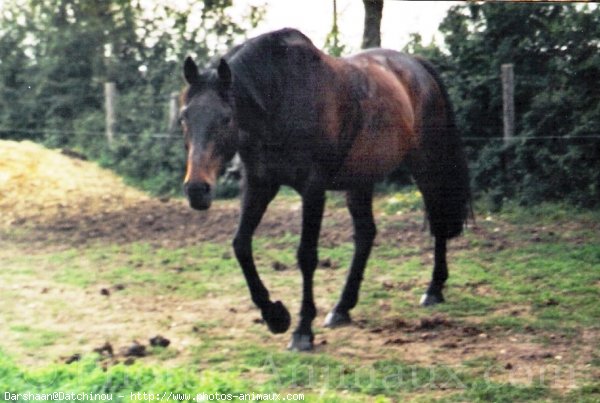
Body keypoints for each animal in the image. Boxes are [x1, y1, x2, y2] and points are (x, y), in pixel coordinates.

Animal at [180, 28, 472, 352]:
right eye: (184, 117)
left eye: (226, 118)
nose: (197, 189)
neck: (282, 98)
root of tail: (418, 66)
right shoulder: (259, 185)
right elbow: (241, 245)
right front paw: (275, 316)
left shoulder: (313, 188)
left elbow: (306, 255)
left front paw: (302, 331)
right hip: (360, 181)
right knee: (366, 235)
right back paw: (342, 308)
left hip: (425, 164)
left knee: (438, 222)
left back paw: (433, 289)